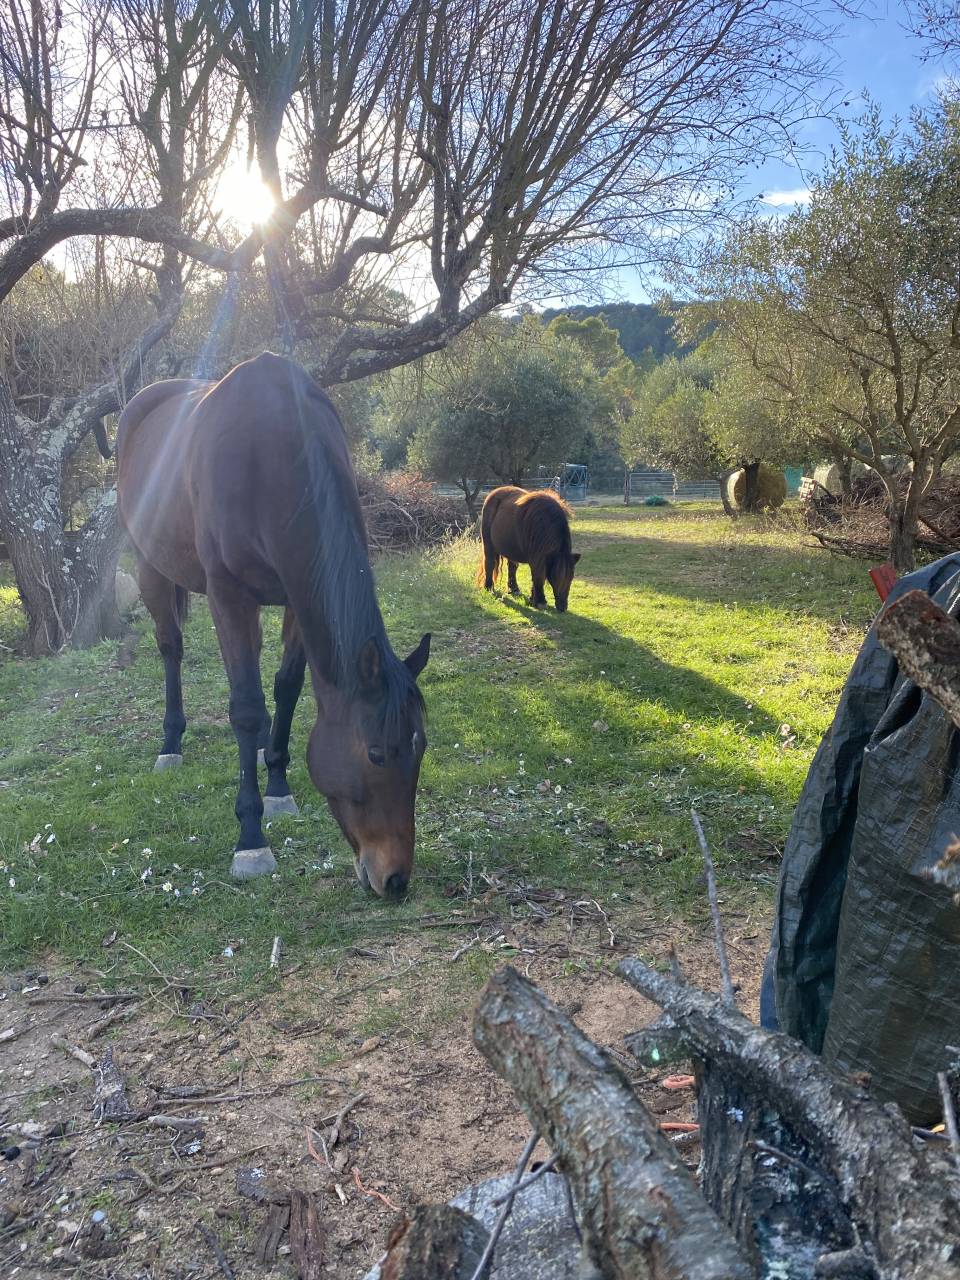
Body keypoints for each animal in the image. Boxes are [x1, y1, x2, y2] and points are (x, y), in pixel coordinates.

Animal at [116, 352, 430, 899]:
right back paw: (171, 742)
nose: (395, 880)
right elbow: (244, 707)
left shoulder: (299, 598)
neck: (271, 455)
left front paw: (279, 783)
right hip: (150, 563)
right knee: (170, 646)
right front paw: (251, 838)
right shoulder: (228, 594)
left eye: (422, 749)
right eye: (375, 753)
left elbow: (286, 686)